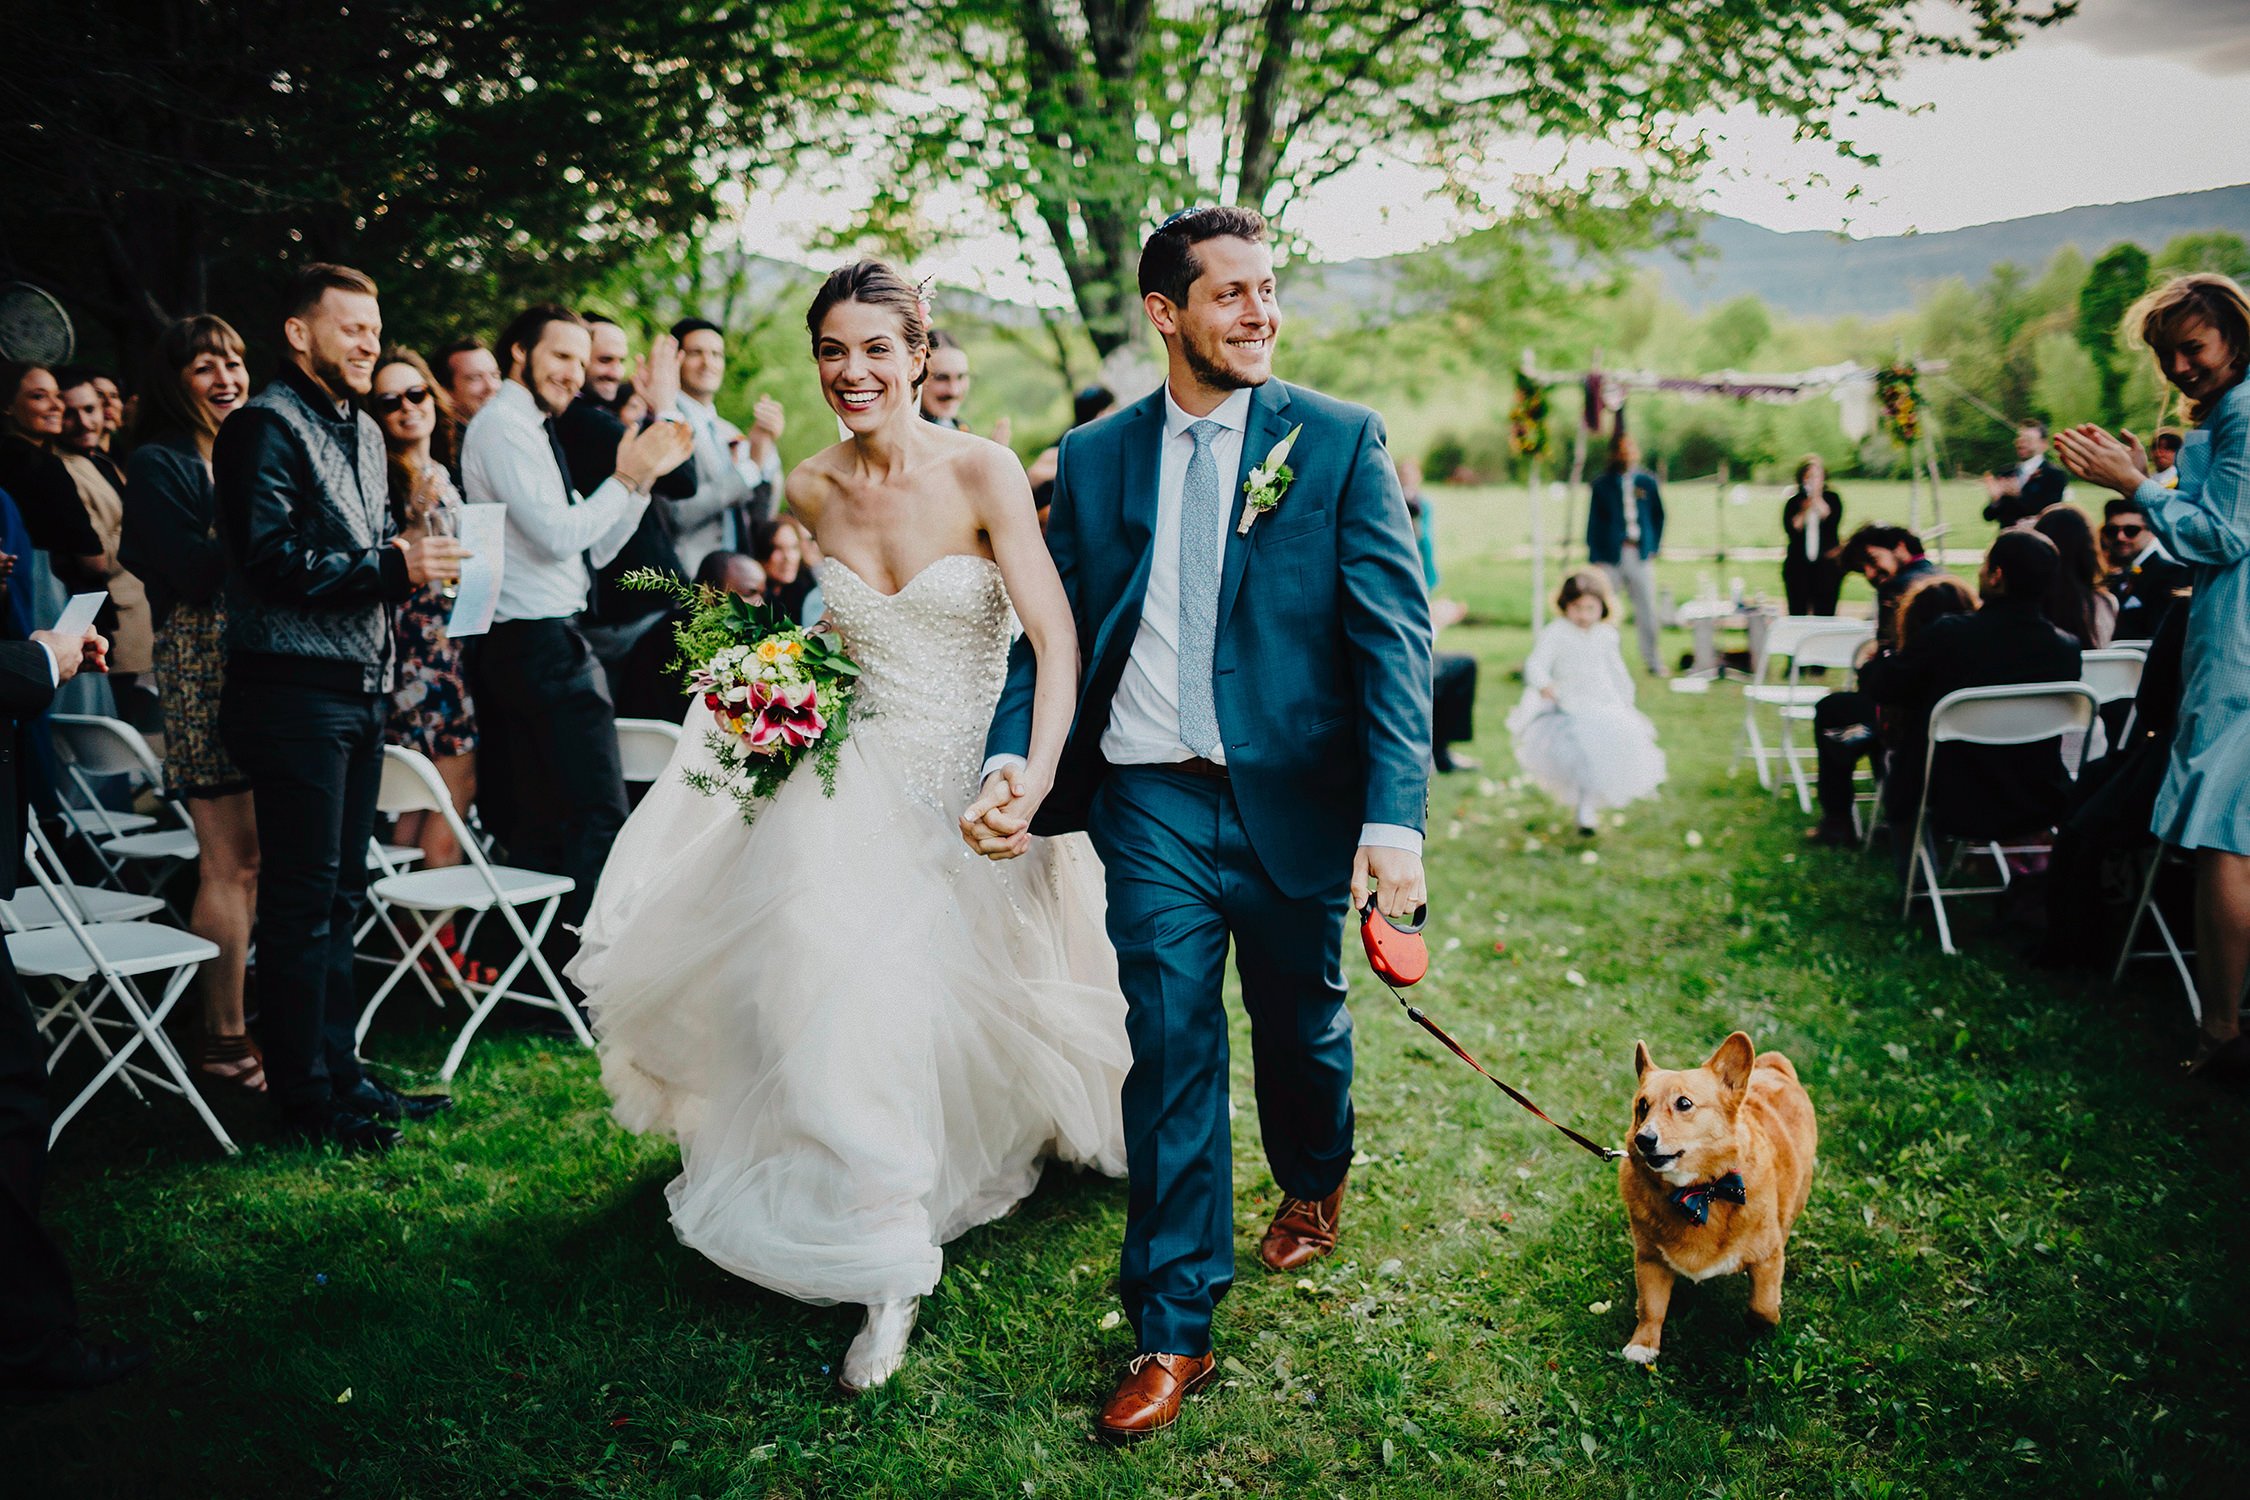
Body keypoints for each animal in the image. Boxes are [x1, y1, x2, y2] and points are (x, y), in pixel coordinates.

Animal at [1617, 1031, 1816, 1364]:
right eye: (1642, 1106)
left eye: (1684, 1103)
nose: (1644, 1139)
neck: (1698, 1192)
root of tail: (1775, 1066)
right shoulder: (1650, 1259)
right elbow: (1650, 1308)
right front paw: (1643, 1345)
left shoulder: (1767, 1257)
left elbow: (1762, 1307)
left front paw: (1760, 1326)